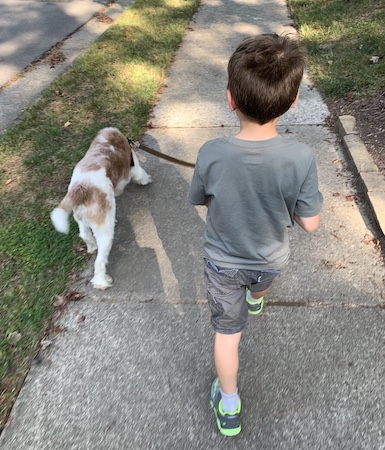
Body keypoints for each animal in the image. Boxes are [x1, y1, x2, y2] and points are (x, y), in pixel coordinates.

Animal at [50, 126, 152, 288]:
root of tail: (81, 188)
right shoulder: (133, 168)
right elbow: (140, 175)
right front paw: (146, 180)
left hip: (81, 218)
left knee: (84, 235)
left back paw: (92, 247)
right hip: (104, 232)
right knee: (100, 261)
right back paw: (102, 282)